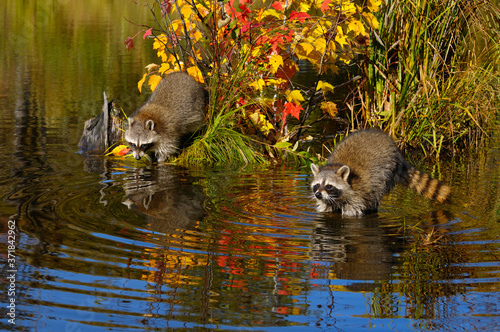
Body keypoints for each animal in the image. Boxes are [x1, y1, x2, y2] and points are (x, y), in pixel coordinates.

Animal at [310, 128, 452, 217]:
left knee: (376, 192)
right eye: (317, 185)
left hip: (386, 172)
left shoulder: (358, 193)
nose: (318, 194)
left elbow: (352, 211)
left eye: (329, 186)